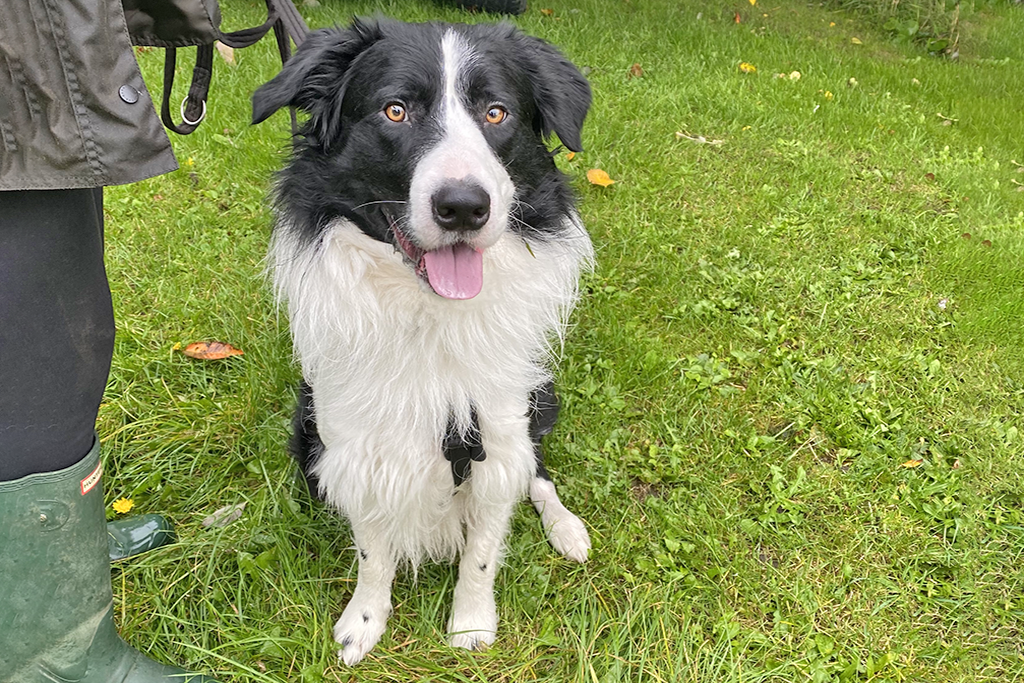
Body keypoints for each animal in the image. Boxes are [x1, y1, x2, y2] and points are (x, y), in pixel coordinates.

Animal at [249, 18, 593, 663]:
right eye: (395, 110)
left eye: (495, 113)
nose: (463, 207)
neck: (429, 315)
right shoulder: (354, 446)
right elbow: (372, 554)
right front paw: (364, 622)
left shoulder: (496, 438)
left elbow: (482, 552)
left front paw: (471, 626)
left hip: (536, 402)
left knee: (539, 474)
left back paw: (566, 528)